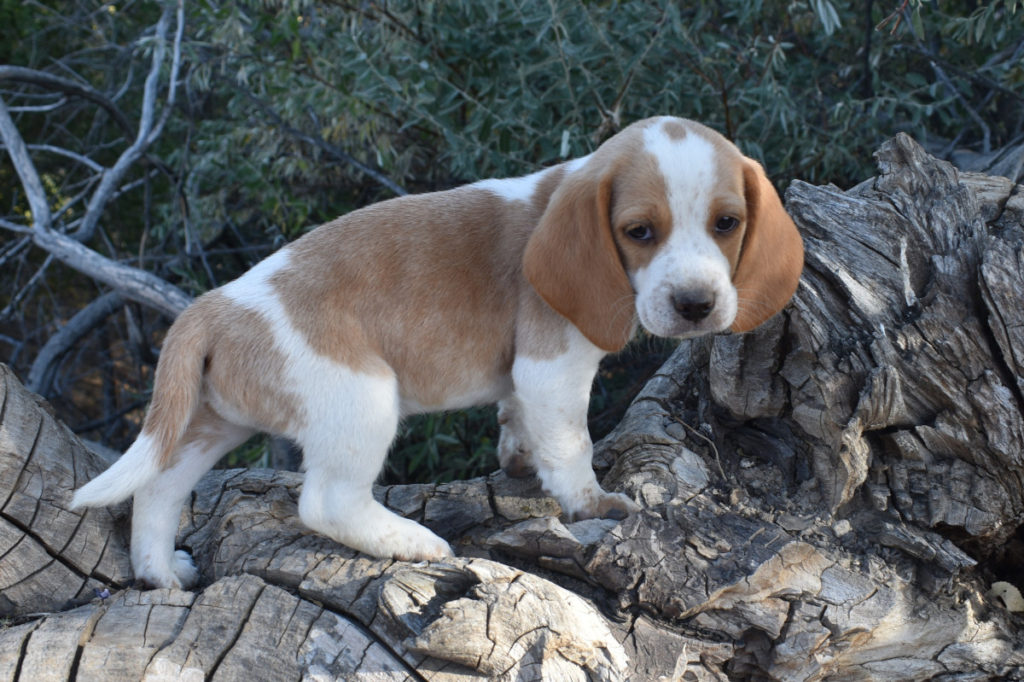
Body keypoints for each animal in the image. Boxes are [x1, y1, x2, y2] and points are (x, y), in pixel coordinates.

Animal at [72, 115, 806, 585]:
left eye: (727, 223)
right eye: (640, 232)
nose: (696, 305)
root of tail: (214, 304)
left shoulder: (525, 384)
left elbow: (518, 425)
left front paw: (518, 462)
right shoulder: (553, 370)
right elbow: (572, 446)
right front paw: (591, 505)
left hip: (213, 422)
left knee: (160, 486)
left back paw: (160, 572)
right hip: (363, 400)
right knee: (326, 503)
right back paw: (414, 542)